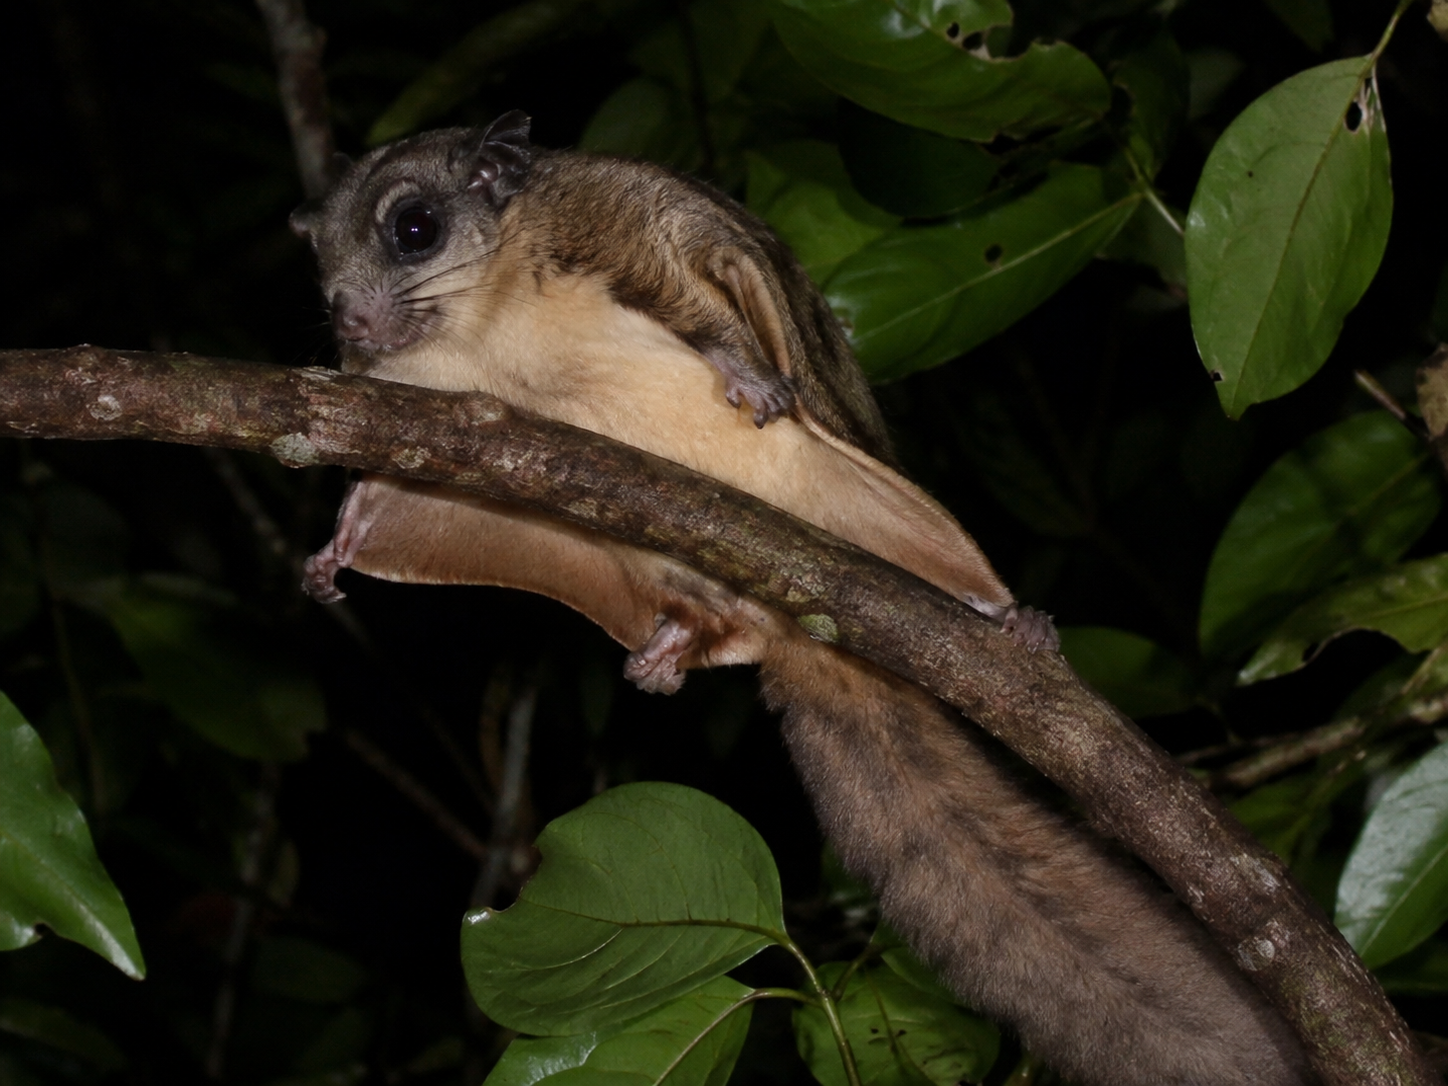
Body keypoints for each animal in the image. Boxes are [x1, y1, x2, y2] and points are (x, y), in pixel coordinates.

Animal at [291, 112, 1312, 1086]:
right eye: (322, 264)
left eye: (414, 228)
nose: (351, 320)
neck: (487, 314)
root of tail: (806, 631)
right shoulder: (430, 406)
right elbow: (392, 478)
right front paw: (342, 537)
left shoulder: (621, 215)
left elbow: (712, 280)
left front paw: (744, 369)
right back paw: (674, 643)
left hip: (874, 494)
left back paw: (999, 617)